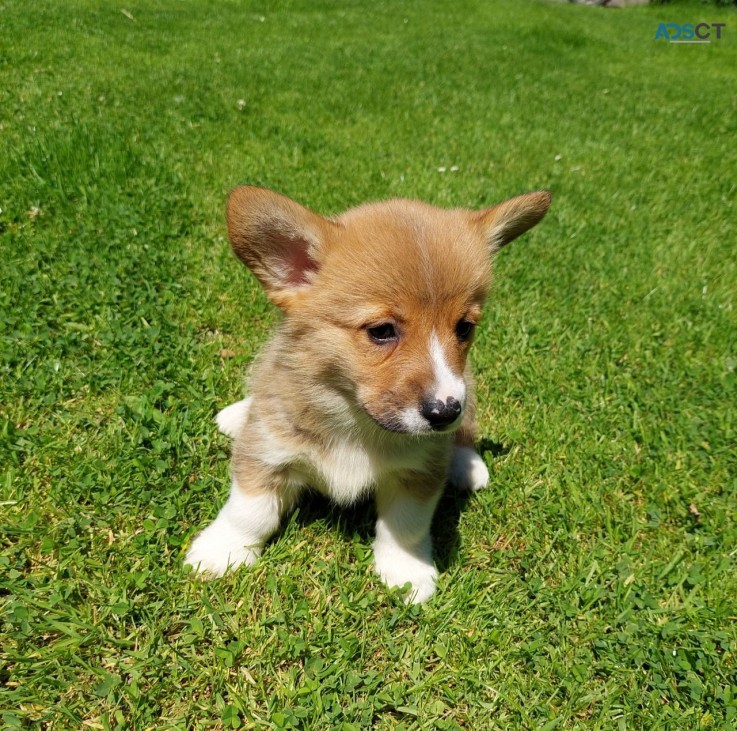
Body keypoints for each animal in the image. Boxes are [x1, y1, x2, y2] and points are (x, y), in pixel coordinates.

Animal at [187, 186, 548, 604]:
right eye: (381, 331)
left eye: (464, 327)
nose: (444, 413)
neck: (354, 421)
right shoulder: (267, 453)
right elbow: (249, 511)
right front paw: (221, 551)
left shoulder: (417, 472)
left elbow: (405, 526)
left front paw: (407, 572)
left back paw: (466, 464)